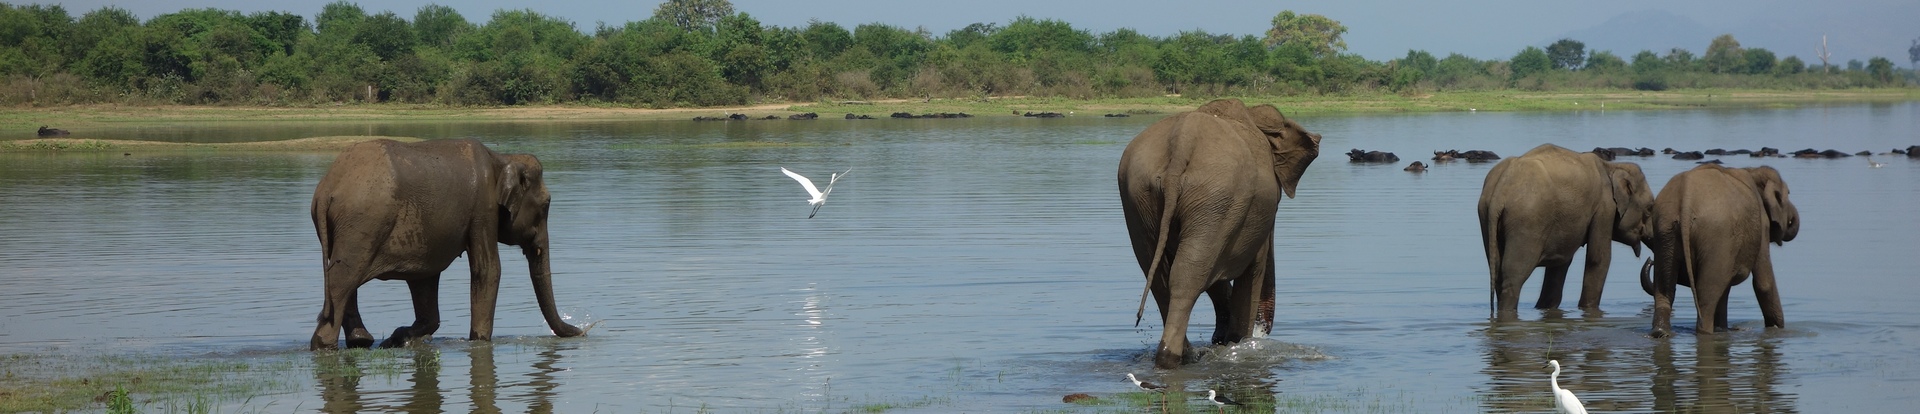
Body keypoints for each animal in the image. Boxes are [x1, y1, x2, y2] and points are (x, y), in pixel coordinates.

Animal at [309, 138, 583, 348]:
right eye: (546, 205)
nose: (582, 330)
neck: (502, 158)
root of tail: (326, 189)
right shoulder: (483, 208)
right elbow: (488, 269)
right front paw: (479, 342)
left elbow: (424, 278)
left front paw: (399, 338)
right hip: (362, 224)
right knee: (343, 279)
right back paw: (326, 345)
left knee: (343, 278)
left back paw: (362, 341)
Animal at [1121, 97, 1328, 368]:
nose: (1264, 329)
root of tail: (1181, 143)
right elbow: (1252, 268)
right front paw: (1237, 341)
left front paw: (1224, 339)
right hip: (1215, 198)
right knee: (1186, 277)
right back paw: (1176, 356)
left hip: (1143, 198)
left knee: (1165, 275)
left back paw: (1183, 355)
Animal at [1474, 141, 1658, 316]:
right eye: (1650, 208)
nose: (1650, 260)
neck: (1610, 167)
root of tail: (1500, 191)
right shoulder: (1605, 207)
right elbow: (1598, 259)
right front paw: (1588, 310)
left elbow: (1560, 264)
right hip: (1527, 221)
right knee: (1514, 276)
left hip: (1486, 217)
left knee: (1496, 273)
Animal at [1635, 162, 1797, 337]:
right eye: (1787, 193)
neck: (1752, 171)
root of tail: (1686, 199)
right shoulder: (1762, 224)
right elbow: (1764, 283)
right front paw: (1777, 330)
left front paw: (1722, 329)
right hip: (1716, 235)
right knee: (1706, 297)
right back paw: (1705, 332)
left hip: (1665, 231)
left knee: (1665, 291)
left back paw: (1660, 333)